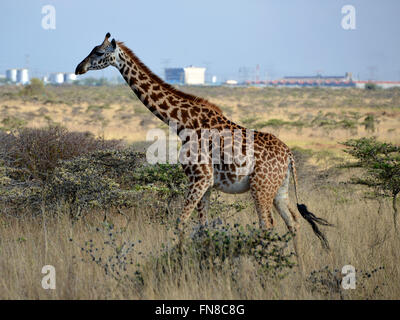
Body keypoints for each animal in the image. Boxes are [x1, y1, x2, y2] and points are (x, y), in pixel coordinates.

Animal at [75, 33, 332, 252]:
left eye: (98, 52)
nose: (79, 68)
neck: (182, 123)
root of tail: (289, 155)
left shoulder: (199, 178)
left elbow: (180, 222)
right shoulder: (206, 184)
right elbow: (202, 227)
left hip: (261, 187)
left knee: (267, 225)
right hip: (280, 188)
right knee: (294, 222)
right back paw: (297, 268)